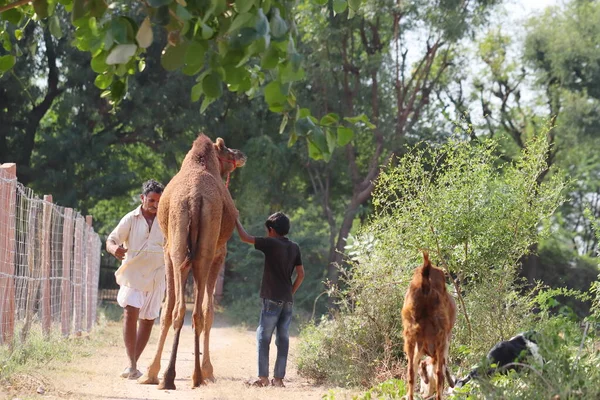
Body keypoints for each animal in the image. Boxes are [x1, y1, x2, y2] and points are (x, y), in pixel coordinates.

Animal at [138, 134, 246, 388]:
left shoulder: (171, 252)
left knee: (183, 309)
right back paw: (191, 375)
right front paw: (208, 371)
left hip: (182, 248)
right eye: (227, 150)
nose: (241, 154)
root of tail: (195, 197)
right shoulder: (218, 254)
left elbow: (170, 308)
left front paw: (151, 373)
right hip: (197, 251)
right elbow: (204, 310)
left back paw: (174, 376)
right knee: (193, 311)